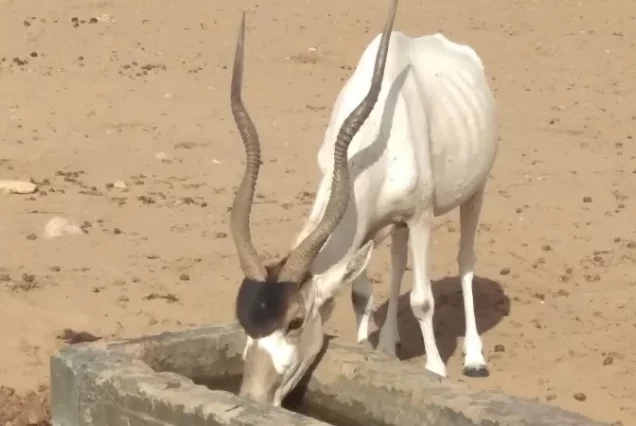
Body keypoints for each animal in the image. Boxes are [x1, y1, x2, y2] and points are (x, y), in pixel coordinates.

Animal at [227, 0, 496, 406]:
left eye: (295, 321)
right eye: (244, 320)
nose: (252, 398)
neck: (376, 143)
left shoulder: (421, 216)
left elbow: (423, 301)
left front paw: (435, 369)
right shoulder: (365, 225)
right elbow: (360, 294)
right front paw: (367, 351)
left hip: (473, 194)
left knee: (466, 260)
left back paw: (475, 358)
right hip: (396, 224)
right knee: (399, 262)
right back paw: (388, 345)